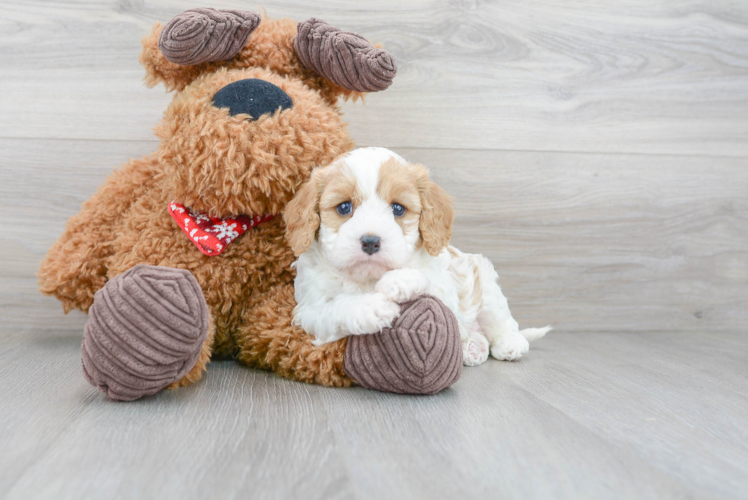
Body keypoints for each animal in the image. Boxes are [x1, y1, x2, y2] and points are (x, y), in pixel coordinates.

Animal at [282, 146, 548, 366]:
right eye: (344, 207)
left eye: (398, 208)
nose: (370, 241)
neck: (368, 278)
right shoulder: (309, 309)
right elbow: (335, 308)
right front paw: (372, 308)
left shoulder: (445, 287)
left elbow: (429, 281)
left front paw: (400, 280)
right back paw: (473, 348)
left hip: (485, 283)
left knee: (501, 320)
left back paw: (510, 343)